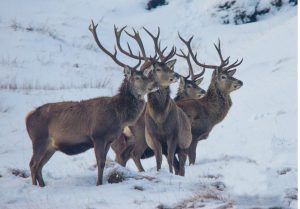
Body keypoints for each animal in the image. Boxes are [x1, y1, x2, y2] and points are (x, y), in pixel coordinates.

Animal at [24, 20, 159, 187]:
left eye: (147, 75)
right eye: (137, 77)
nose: (155, 84)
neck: (118, 115)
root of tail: (27, 117)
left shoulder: (109, 139)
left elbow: (104, 162)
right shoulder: (98, 135)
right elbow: (100, 162)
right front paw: (98, 184)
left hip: (50, 146)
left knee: (39, 167)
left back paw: (42, 186)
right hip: (39, 139)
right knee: (33, 164)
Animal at [176, 34, 244, 165]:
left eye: (230, 74)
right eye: (223, 76)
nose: (240, 81)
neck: (209, 113)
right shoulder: (193, 136)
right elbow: (192, 160)